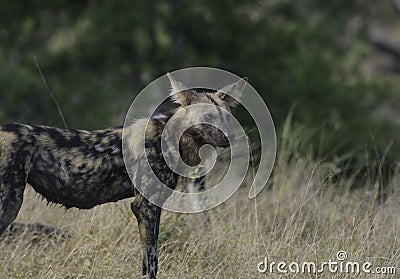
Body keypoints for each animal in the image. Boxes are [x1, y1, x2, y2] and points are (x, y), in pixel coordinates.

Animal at [0, 73, 245, 278]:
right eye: (207, 116)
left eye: (227, 118)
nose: (230, 137)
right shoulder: (146, 208)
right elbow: (151, 263)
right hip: (9, 205)